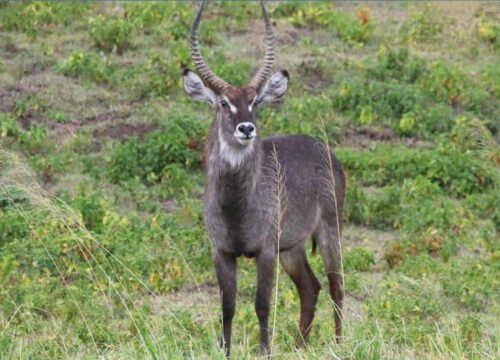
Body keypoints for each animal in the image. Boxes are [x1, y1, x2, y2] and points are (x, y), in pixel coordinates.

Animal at [182, 0, 346, 356]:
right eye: (224, 102)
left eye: (254, 101)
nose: (247, 128)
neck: (236, 210)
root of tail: (324, 150)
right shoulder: (222, 251)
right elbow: (227, 306)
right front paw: (225, 351)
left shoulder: (266, 250)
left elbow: (262, 304)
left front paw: (264, 351)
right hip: (292, 247)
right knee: (310, 287)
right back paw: (300, 346)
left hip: (329, 228)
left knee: (336, 284)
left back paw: (341, 344)